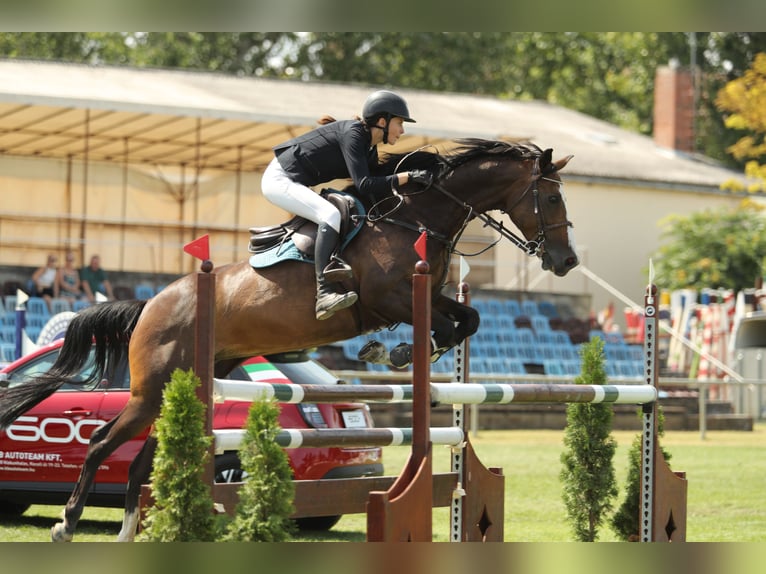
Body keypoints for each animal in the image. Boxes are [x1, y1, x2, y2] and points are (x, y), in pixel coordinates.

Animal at [0, 138, 578, 541]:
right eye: (550, 197)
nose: (567, 262)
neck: (416, 217)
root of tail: (152, 305)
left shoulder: (430, 297)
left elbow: (468, 320)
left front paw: (400, 351)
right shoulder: (391, 298)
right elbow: (445, 324)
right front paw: (396, 350)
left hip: (189, 386)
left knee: (144, 461)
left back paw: (127, 532)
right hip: (152, 390)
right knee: (101, 443)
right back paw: (67, 524)